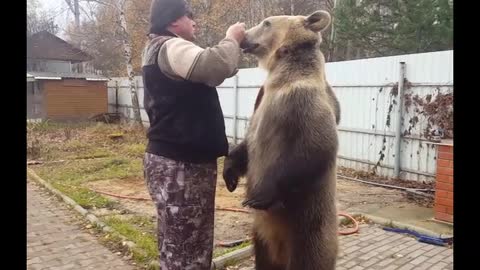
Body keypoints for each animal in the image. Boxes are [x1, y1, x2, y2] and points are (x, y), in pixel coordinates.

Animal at [223, 10, 340, 270]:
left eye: (266, 23)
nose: (244, 37)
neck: (282, 73)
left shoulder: (303, 102)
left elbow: (318, 146)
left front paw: (260, 196)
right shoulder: (260, 99)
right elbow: (247, 142)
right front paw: (230, 173)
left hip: (308, 226)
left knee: (311, 258)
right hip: (261, 236)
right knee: (263, 257)